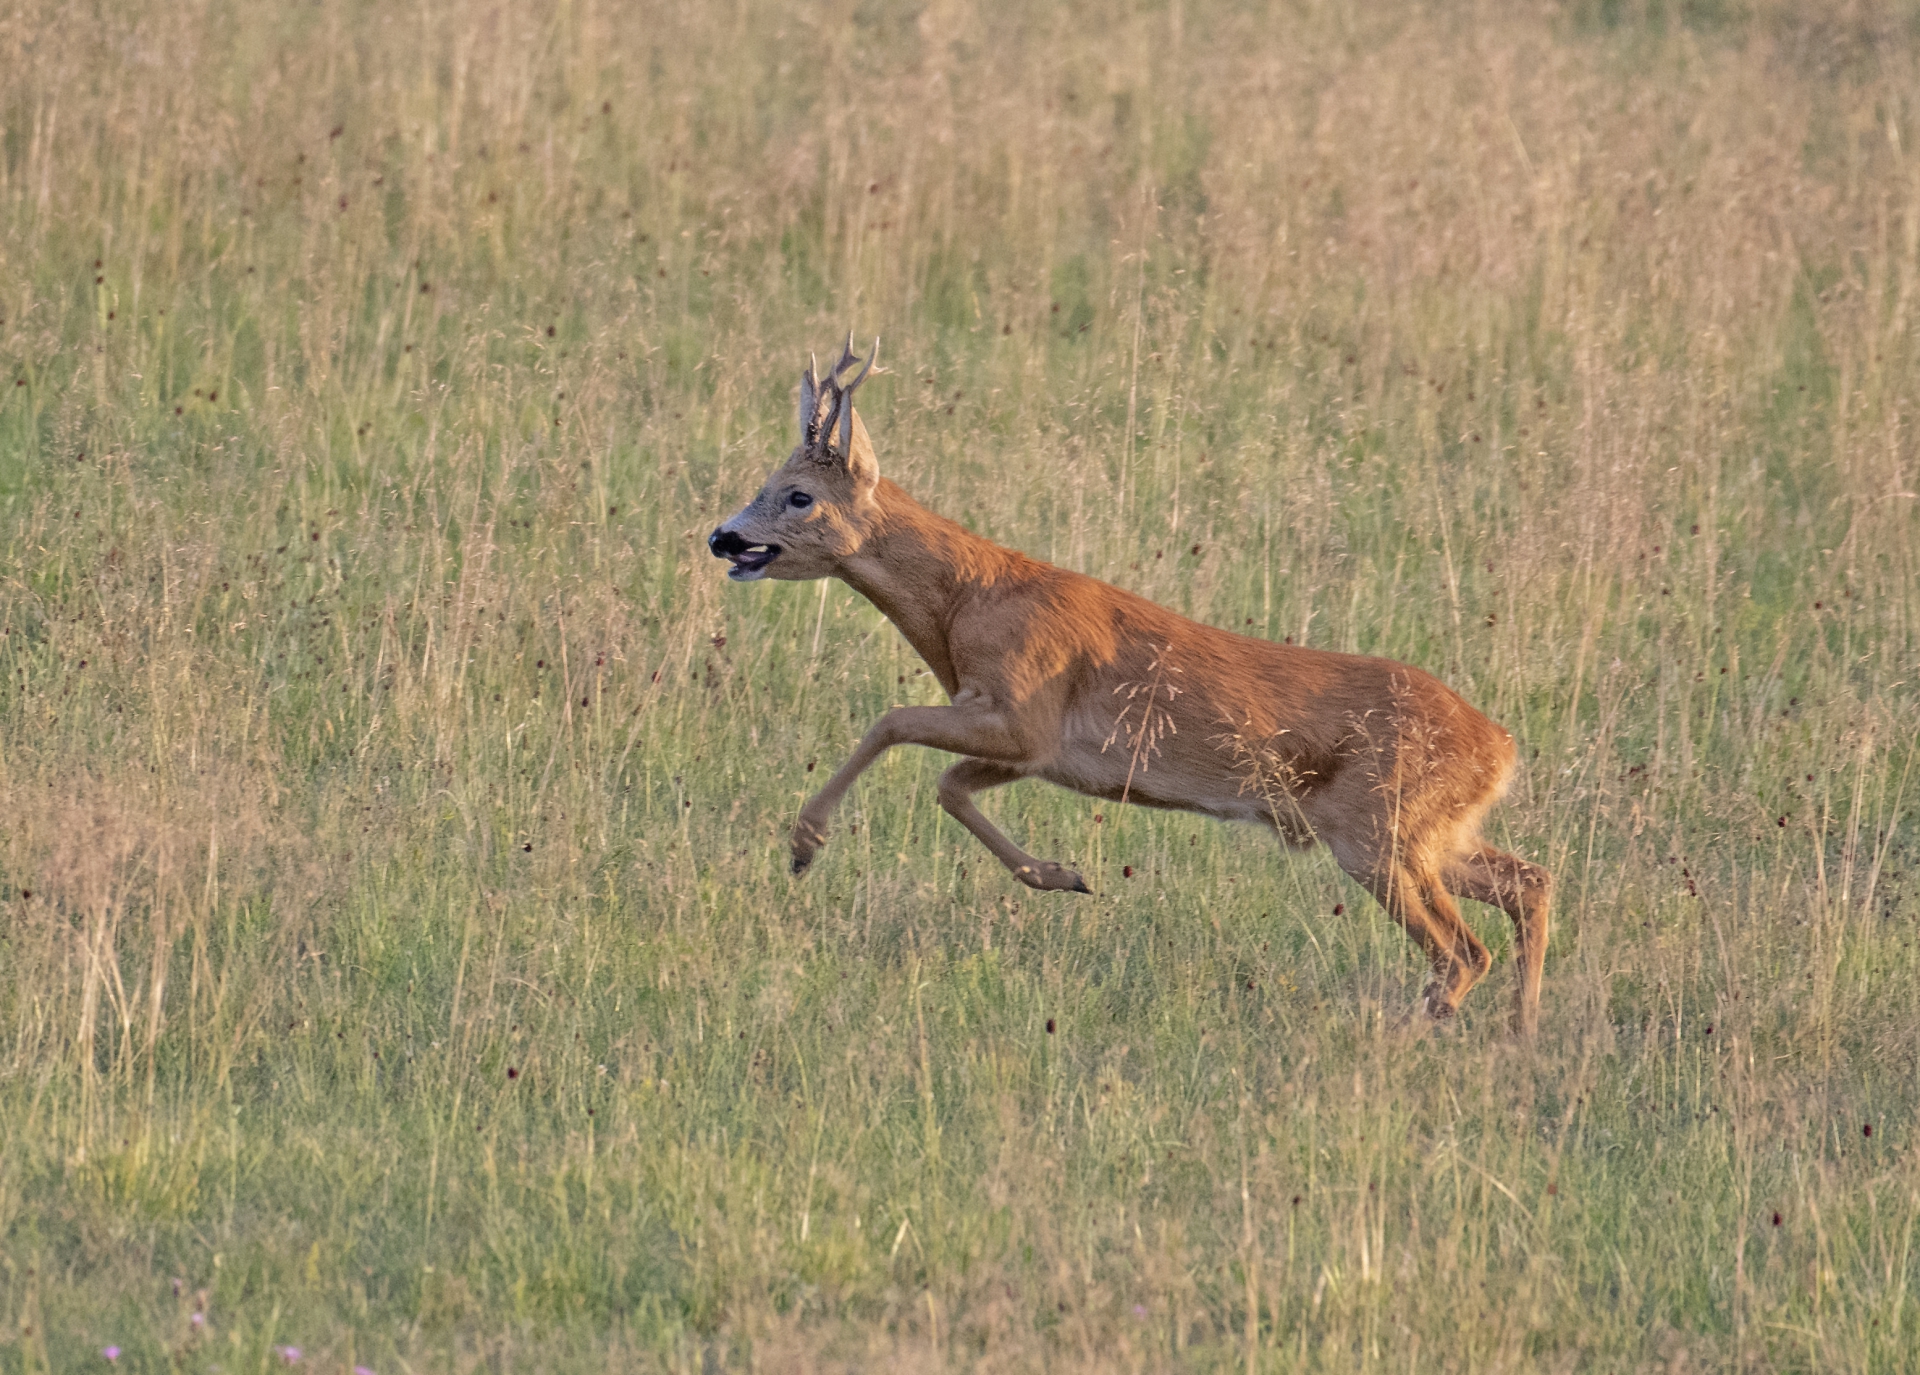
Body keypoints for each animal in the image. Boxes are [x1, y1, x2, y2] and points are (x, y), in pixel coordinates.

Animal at [714, 336, 1551, 1029]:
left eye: (798, 495)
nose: (722, 536)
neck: (964, 605)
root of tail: (1502, 748)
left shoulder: (1024, 711)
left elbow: (890, 722)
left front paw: (805, 842)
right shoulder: (1033, 749)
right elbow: (951, 786)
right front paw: (1063, 875)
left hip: (1379, 831)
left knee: (1461, 950)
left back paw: (1412, 1033)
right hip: (1430, 832)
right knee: (1530, 882)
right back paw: (1520, 1031)